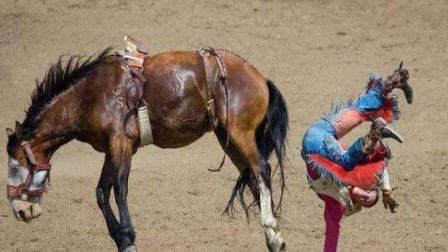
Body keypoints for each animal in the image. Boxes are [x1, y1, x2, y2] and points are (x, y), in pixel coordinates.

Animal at [5, 45, 288, 252]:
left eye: (15, 166)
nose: (20, 211)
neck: (91, 95)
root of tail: (259, 77)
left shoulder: (122, 143)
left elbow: (120, 189)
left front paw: (128, 237)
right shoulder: (111, 148)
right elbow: (101, 192)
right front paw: (120, 239)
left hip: (241, 133)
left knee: (262, 170)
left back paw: (271, 227)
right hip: (227, 139)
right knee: (252, 177)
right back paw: (273, 238)